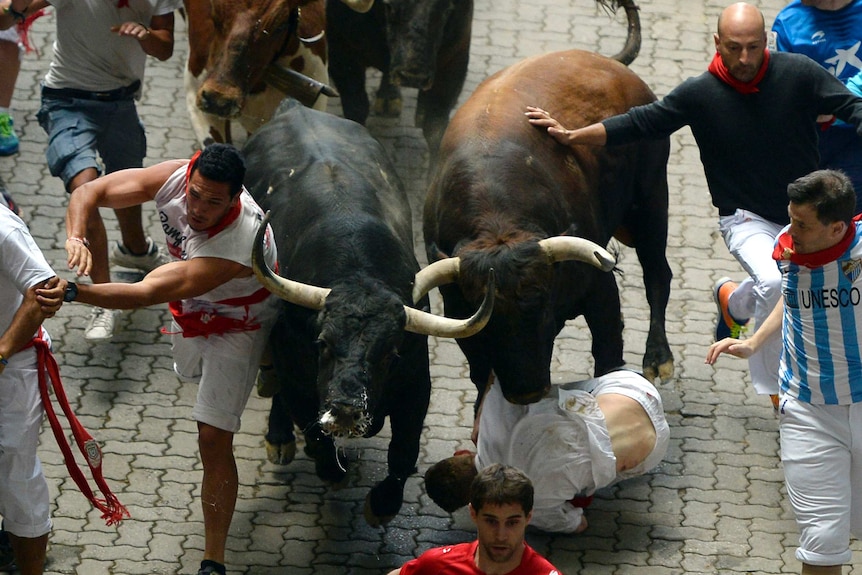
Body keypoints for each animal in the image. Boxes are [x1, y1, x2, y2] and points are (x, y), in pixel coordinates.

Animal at [246, 99, 496, 528]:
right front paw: (329, 465)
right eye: (322, 344)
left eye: (389, 353)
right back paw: (279, 440)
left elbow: (404, 452)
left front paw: (382, 505)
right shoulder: (297, 378)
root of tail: (295, 108)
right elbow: (315, 435)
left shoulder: (416, 385)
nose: (347, 410)